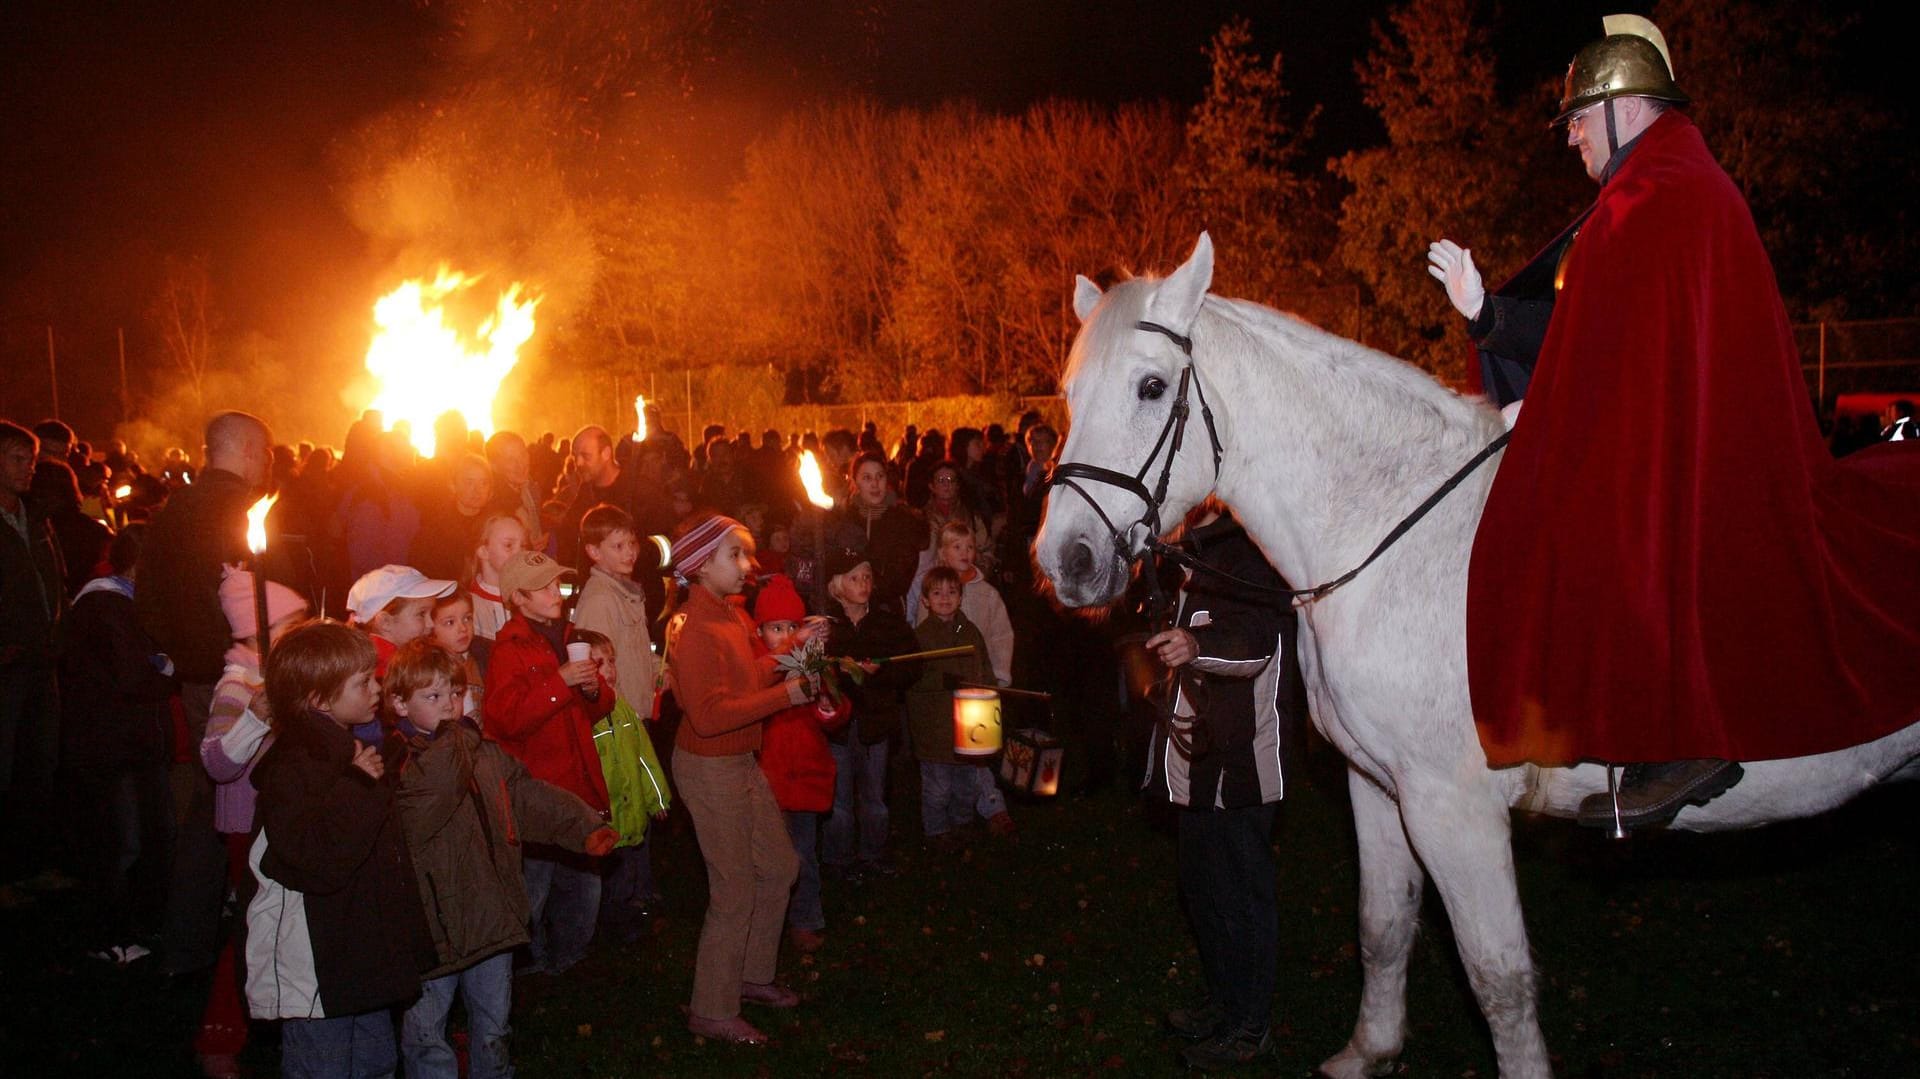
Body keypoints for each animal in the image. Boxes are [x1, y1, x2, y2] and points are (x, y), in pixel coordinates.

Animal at [1036, 235, 1920, 1075]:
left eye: (1153, 388)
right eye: (1070, 396)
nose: (1064, 562)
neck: (1391, 532)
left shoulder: (1455, 809)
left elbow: (1498, 976)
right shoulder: (1379, 786)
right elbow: (1383, 923)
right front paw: (1370, 1050)